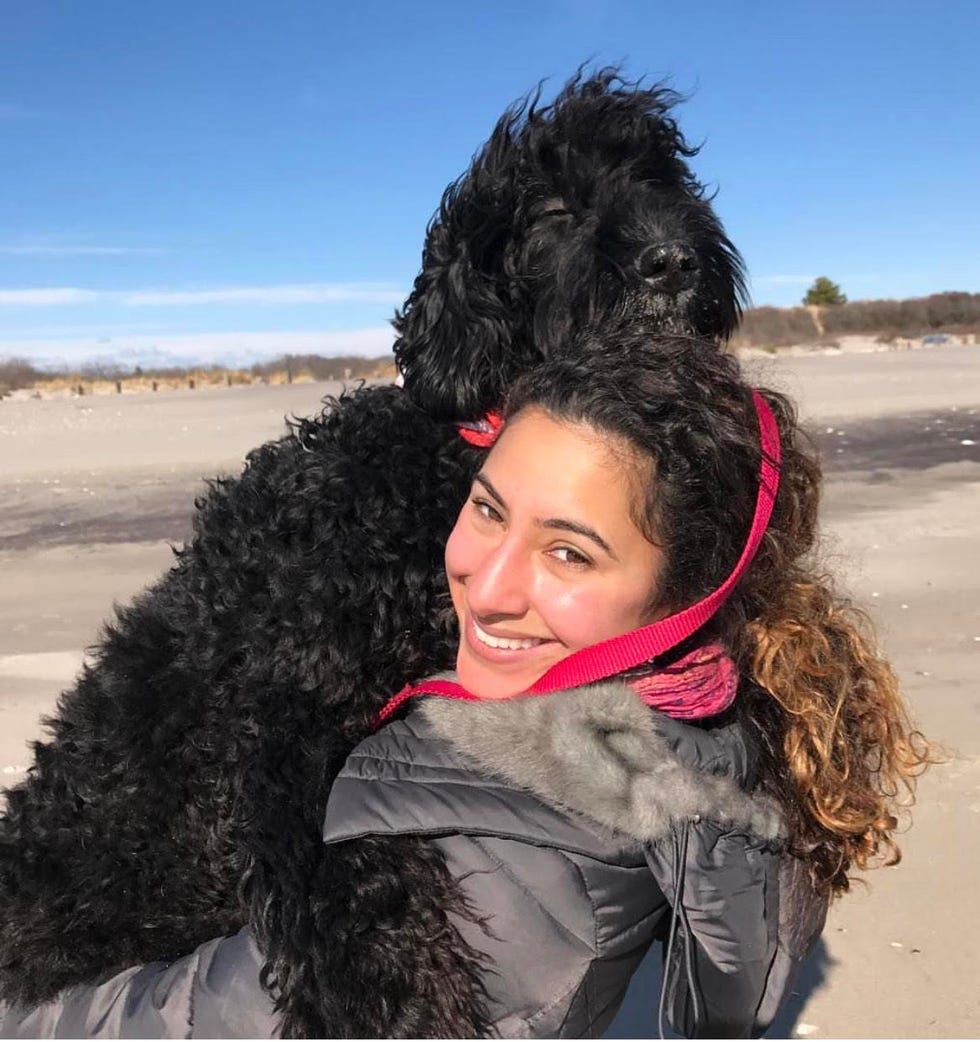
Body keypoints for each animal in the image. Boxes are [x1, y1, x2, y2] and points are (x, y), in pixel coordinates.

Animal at [0, 71, 742, 1033]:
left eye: (664, 183)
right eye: (550, 209)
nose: (673, 259)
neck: (454, 456)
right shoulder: (286, 707)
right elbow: (333, 866)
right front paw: (391, 998)